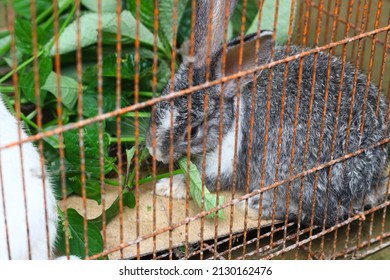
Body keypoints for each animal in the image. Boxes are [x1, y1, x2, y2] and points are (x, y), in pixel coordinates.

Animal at [145, 0, 386, 228]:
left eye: (192, 131)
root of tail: (374, 178)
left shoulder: (228, 158)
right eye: (159, 100)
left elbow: (204, 181)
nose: (154, 151)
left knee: (322, 213)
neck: (232, 109)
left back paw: (254, 206)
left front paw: (167, 186)